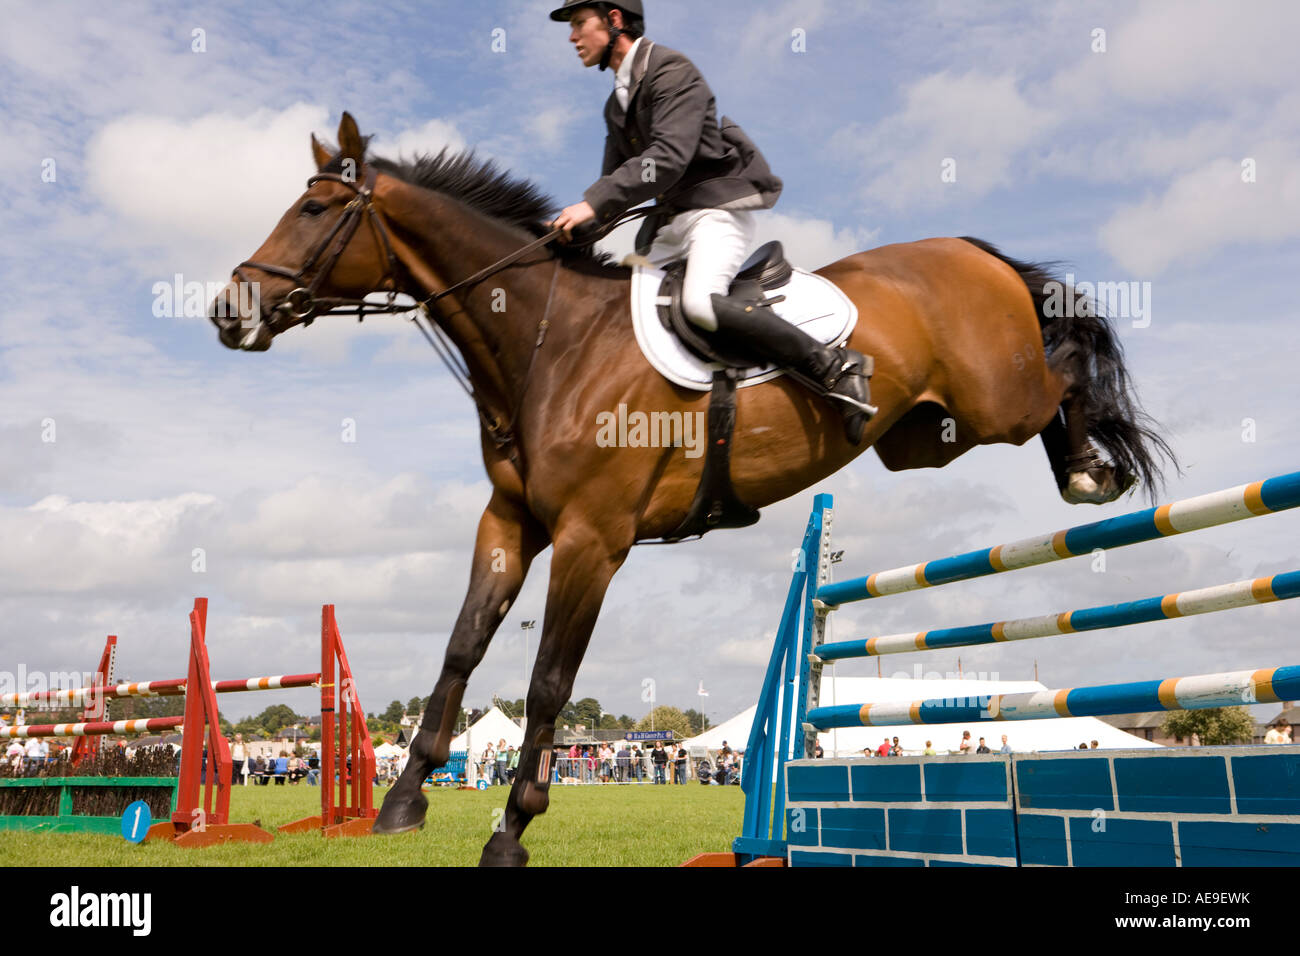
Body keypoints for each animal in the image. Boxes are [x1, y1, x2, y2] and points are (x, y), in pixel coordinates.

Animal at [208, 113, 1175, 868]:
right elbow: (460, 649)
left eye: (315, 210)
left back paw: (1094, 466)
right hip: (923, 440)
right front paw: (404, 800)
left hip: (995, 398)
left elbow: (548, 681)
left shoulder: (593, 538)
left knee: (1066, 368)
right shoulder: (511, 521)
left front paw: (511, 829)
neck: (543, 341)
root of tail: (970, 251)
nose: (229, 310)